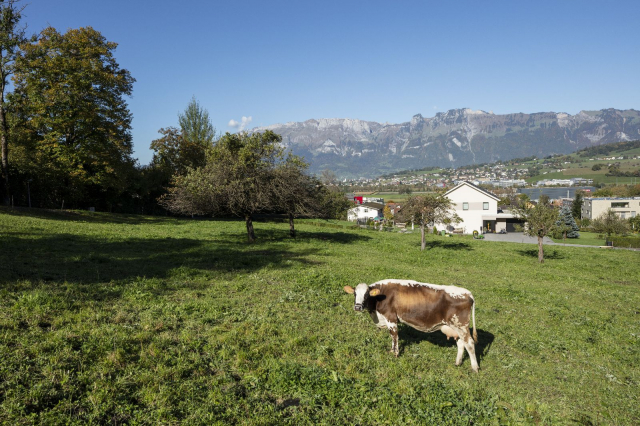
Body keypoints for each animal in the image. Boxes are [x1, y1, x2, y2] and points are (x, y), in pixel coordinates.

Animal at [342, 278, 478, 372]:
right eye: (355, 294)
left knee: (470, 344)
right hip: (456, 327)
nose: (357, 307)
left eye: (366, 295)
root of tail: (468, 293)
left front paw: (395, 353)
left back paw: (475, 368)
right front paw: (392, 351)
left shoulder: (391, 318)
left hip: (461, 325)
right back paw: (458, 363)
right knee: (461, 343)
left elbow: (394, 336)